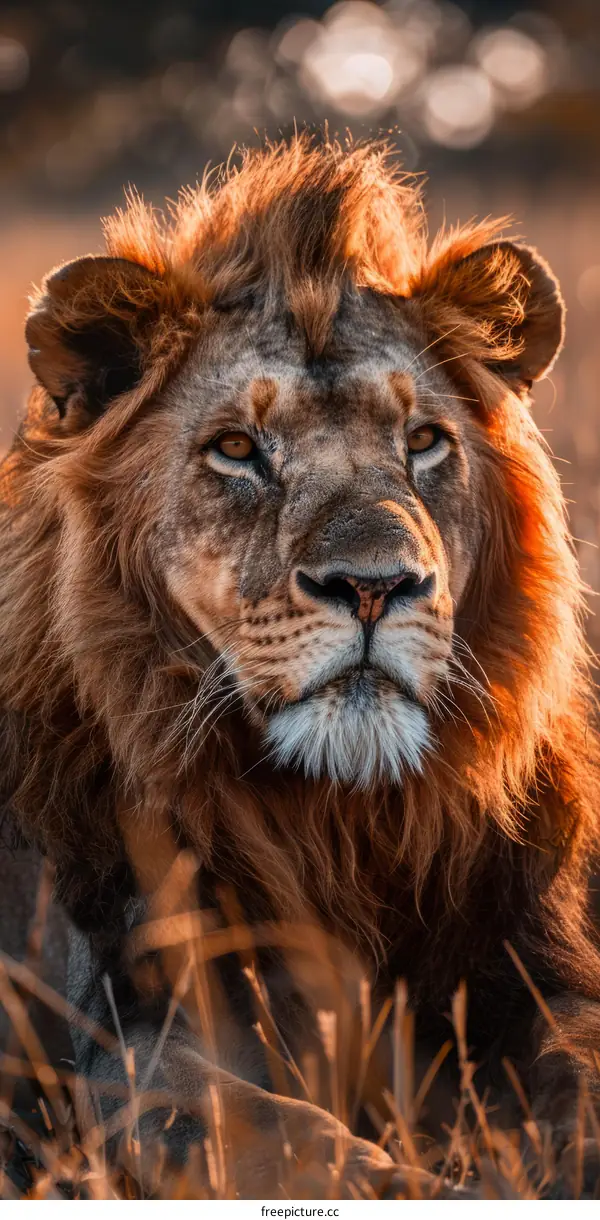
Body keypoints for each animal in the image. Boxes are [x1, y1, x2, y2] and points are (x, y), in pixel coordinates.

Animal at [1, 136, 600, 1197]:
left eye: (423, 441)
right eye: (237, 449)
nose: (374, 585)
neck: (343, 824)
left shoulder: (536, 979)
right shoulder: (124, 1041)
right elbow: (285, 1136)